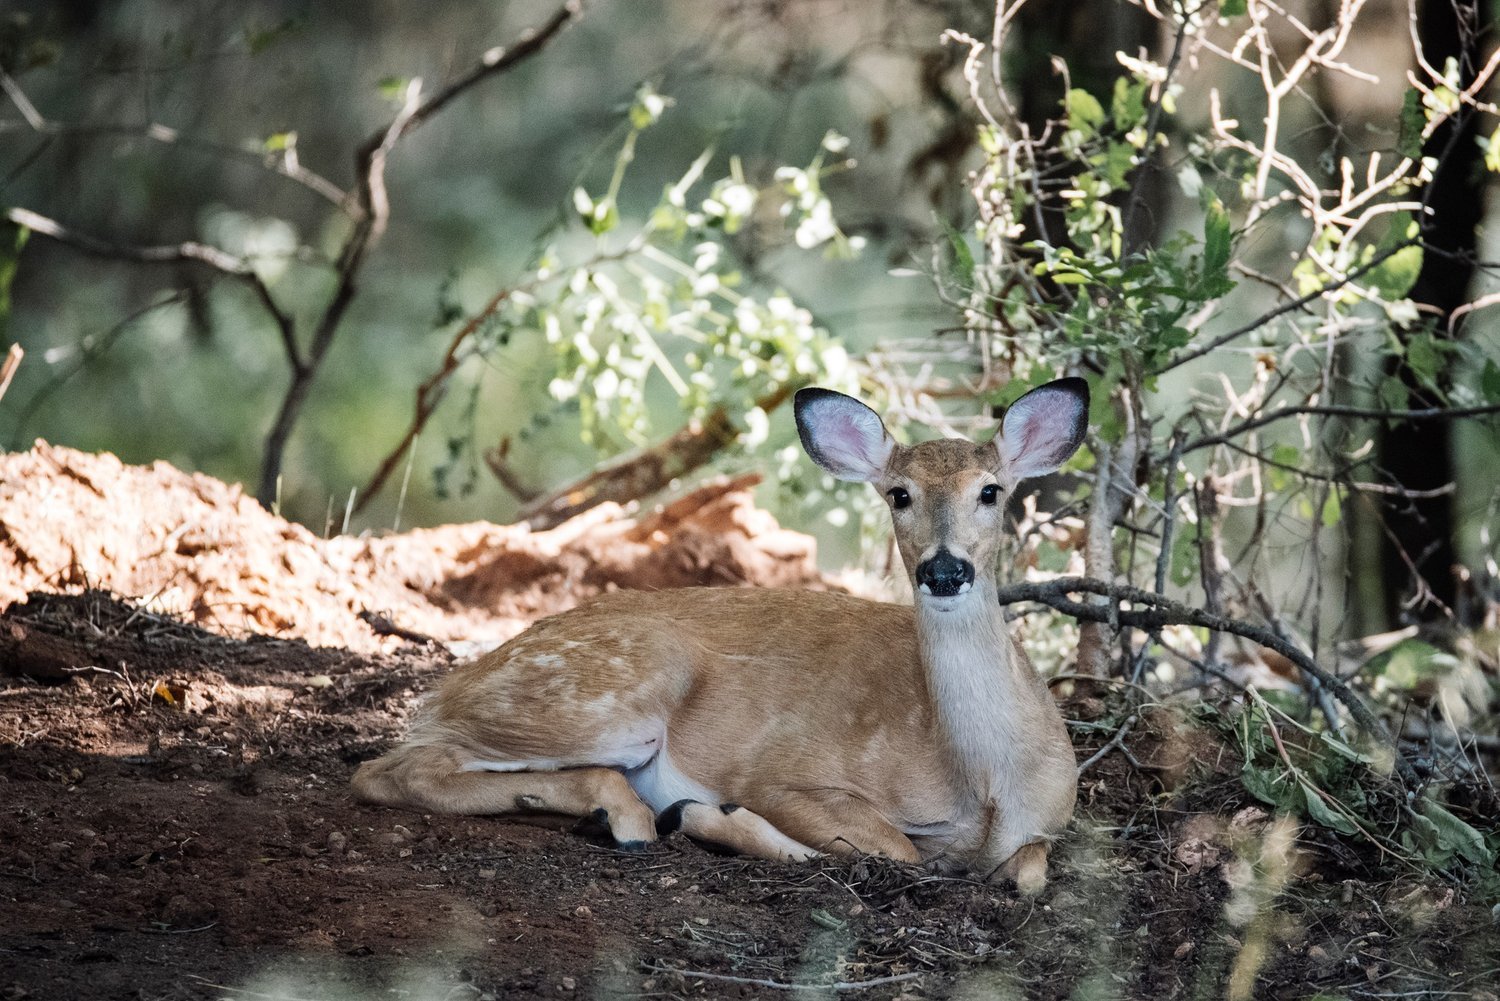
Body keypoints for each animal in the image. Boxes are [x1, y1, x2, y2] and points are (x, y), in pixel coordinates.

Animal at [352, 378, 1092, 894]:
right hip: (615, 690)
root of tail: (452, 685)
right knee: (388, 769)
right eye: (899, 493)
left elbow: (1028, 871)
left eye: (991, 491)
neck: (981, 785)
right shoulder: (786, 774)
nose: (944, 569)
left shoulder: (1051, 819)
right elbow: (895, 849)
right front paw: (713, 818)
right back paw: (631, 817)